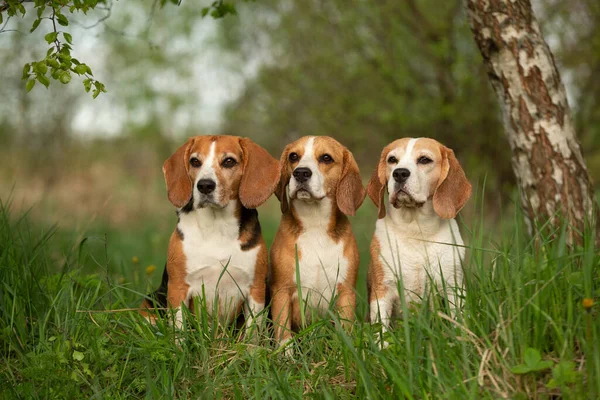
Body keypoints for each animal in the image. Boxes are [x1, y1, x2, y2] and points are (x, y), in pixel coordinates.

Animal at [142, 134, 280, 332]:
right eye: (195, 161)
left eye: (229, 161)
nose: (205, 185)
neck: (217, 225)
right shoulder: (177, 288)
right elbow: (180, 330)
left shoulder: (256, 290)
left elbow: (252, 332)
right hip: (149, 303)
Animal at [270, 136, 364, 348]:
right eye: (293, 156)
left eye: (326, 158)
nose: (301, 173)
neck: (315, 225)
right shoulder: (281, 291)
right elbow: (283, 333)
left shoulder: (345, 293)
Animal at [368, 138, 472, 328]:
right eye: (392, 159)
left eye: (424, 160)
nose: (399, 173)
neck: (416, 230)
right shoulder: (382, 291)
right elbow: (381, 330)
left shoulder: (453, 288)